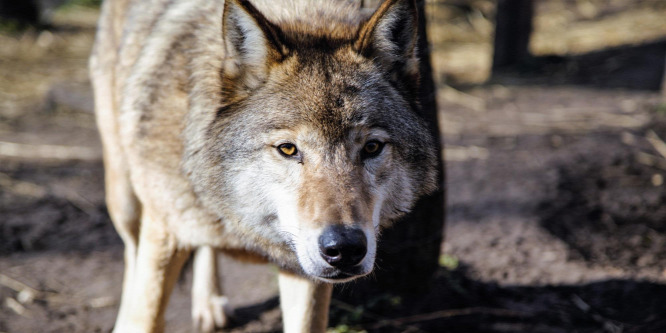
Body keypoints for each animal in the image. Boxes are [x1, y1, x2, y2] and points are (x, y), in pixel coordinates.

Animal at [91, 0, 438, 330]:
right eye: (288, 149)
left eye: (372, 147)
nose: (344, 249)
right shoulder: (164, 233)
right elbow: (145, 314)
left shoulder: (303, 273)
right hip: (126, 200)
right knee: (132, 253)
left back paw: (209, 303)